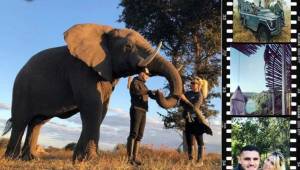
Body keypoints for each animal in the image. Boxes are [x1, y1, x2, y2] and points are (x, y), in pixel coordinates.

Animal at [4, 23, 183, 161]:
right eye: (128, 46)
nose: (157, 92)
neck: (104, 30)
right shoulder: (80, 69)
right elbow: (93, 106)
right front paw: (90, 160)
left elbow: (102, 109)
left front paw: (79, 159)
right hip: (21, 88)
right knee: (20, 121)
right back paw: (12, 158)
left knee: (37, 123)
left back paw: (30, 159)